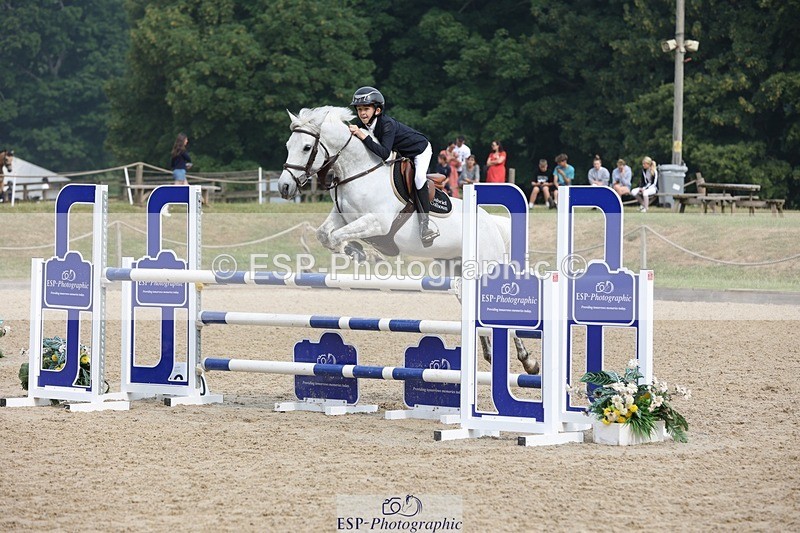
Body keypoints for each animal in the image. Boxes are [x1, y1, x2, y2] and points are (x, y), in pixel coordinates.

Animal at [277, 107, 539, 375]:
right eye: (288, 145)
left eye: (307, 147)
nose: (284, 187)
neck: (358, 173)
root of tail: (492, 223)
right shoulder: (342, 217)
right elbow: (325, 234)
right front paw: (358, 252)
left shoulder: (377, 222)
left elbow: (339, 236)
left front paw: (366, 254)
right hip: (458, 270)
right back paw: (492, 354)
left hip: (488, 268)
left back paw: (528, 360)